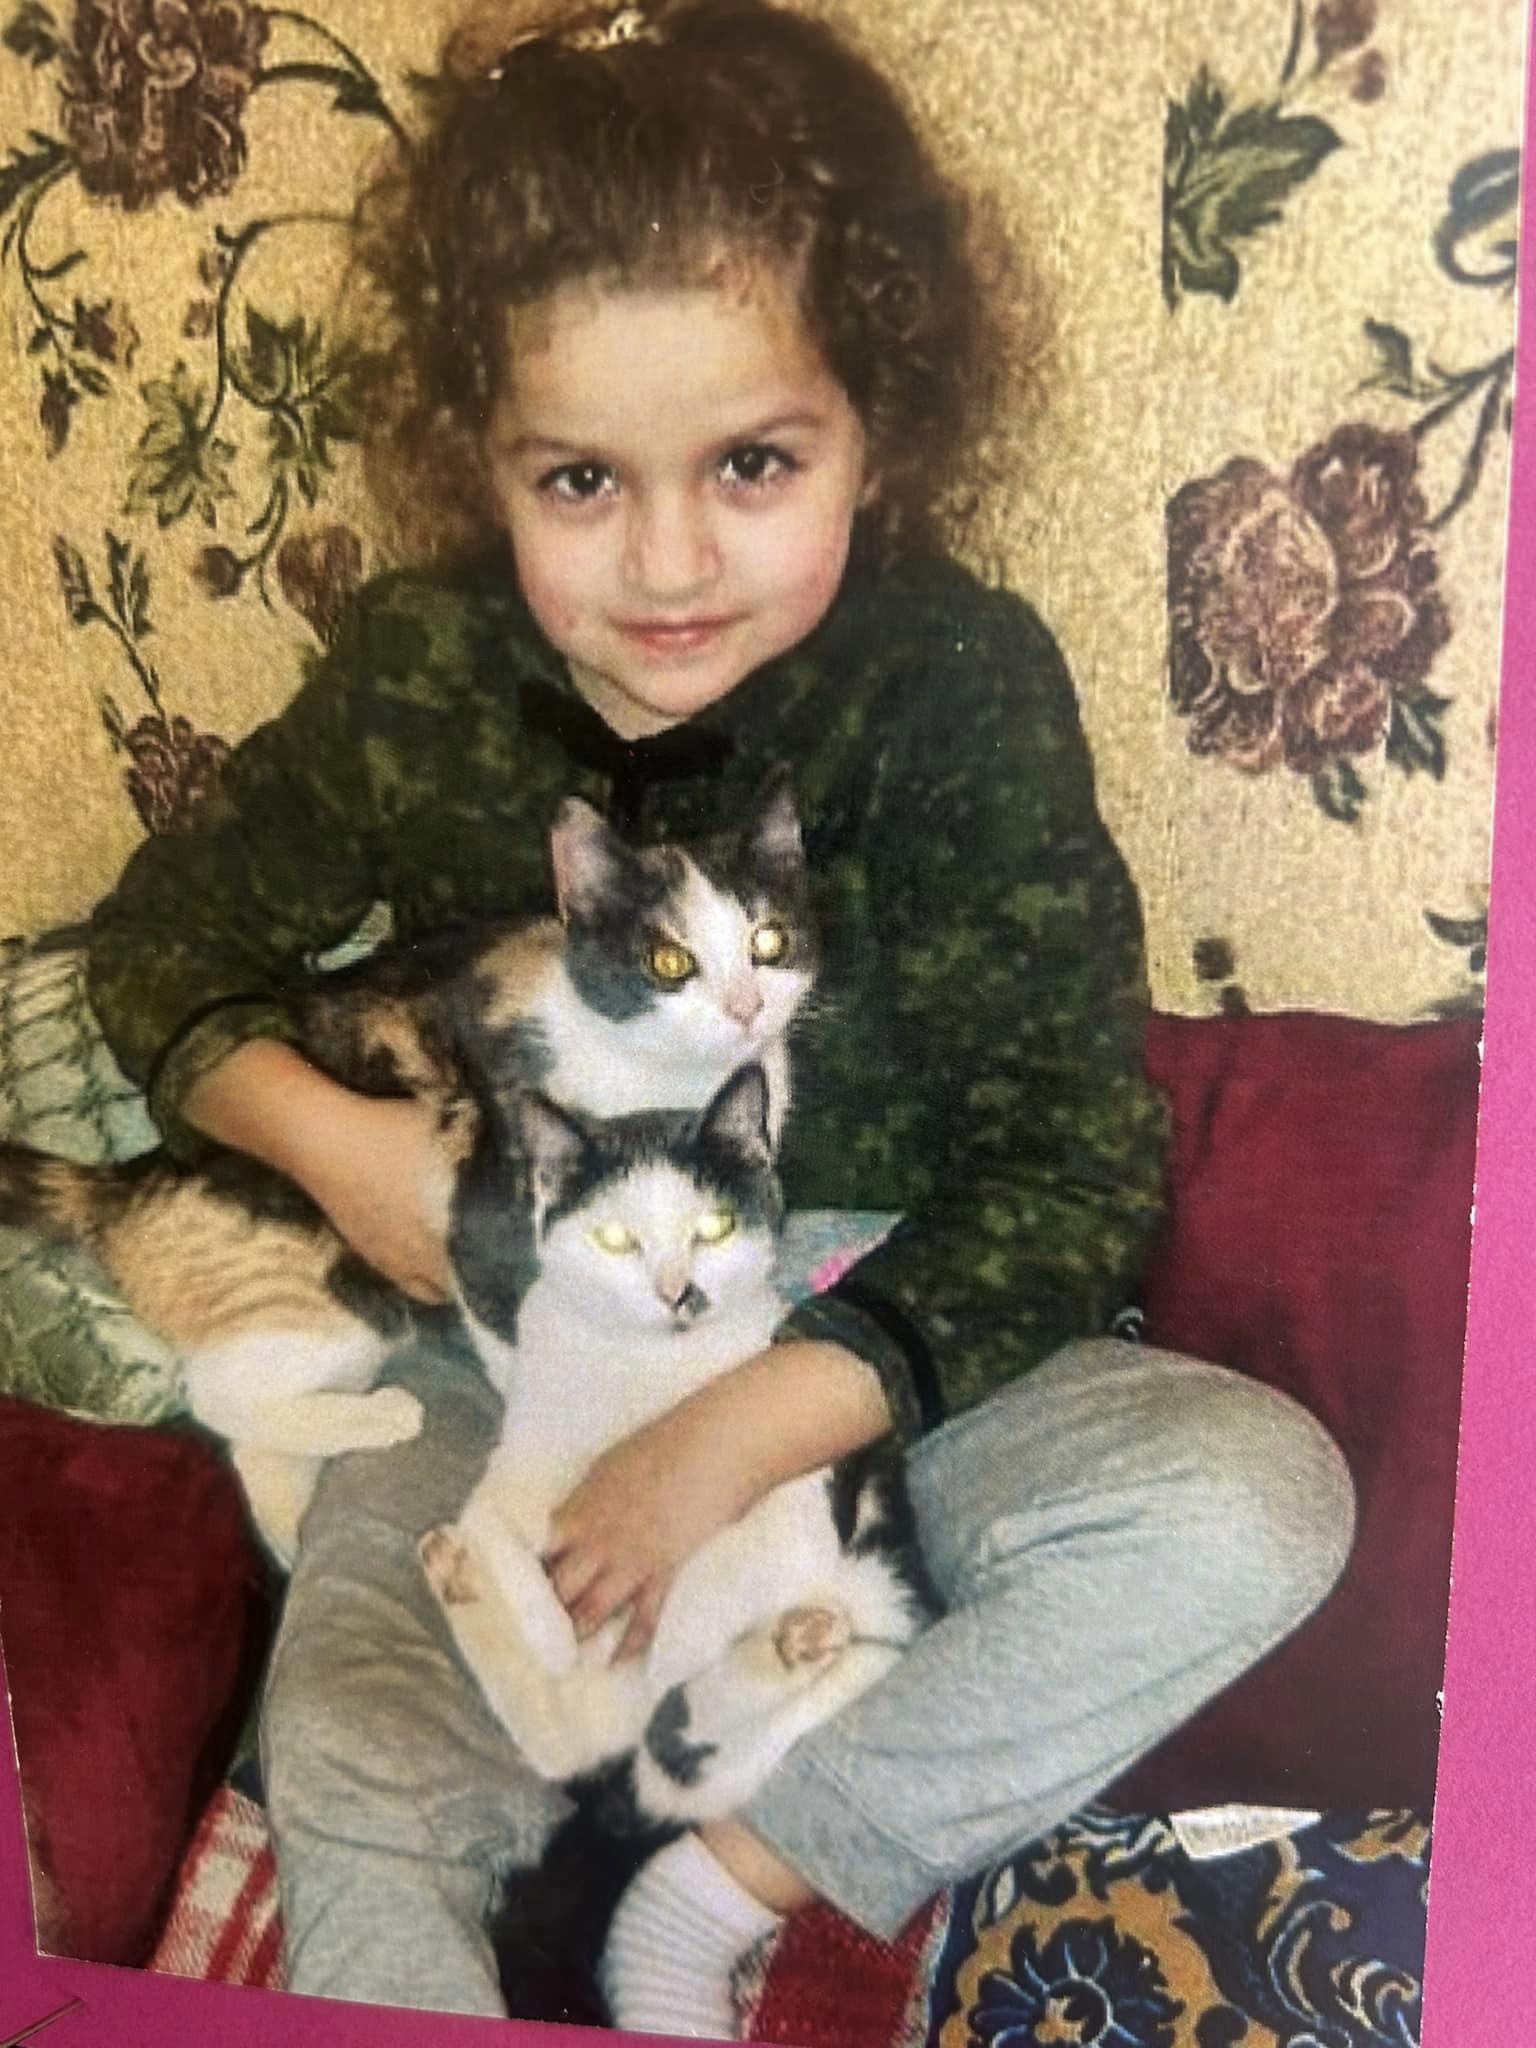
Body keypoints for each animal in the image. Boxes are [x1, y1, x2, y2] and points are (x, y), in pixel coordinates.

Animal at [0, 781, 817, 1562]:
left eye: (769, 941)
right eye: (669, 961)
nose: (746, 1007)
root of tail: (128, 1179)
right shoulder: (485, 1221)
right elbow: (517, 1342)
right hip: (320, 1291)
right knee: (218, 1395)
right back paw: (385, 1415)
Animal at [417, 1064, 936, 1840]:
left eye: (714, 1227)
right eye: (614, 1238)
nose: (677, 1292)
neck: (647, 1366)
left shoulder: (794, 1482)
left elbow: (727, 1559)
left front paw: (673, 1633)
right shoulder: (522, 1452)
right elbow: (494, 1521)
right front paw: (549, 1628)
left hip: (882, 1598)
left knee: (687, 1746)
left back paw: (785, 1645)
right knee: (565, 1741)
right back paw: (456, 1573)